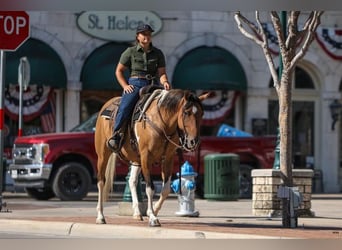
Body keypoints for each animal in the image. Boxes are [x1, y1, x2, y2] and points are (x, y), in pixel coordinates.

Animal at [95, 88, 210, 227]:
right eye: (186, 112)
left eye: (202, 114)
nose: (194, 141)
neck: (162, 123)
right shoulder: (146, 157)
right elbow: (150, 189)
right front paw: (153, 218)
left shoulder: (168, 159)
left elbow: (165, 190)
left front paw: (153, 210)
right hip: (103, 154)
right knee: (101, 182)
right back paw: (100, 216)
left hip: (136, 159)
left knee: (132, 181)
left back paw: (137, 213)